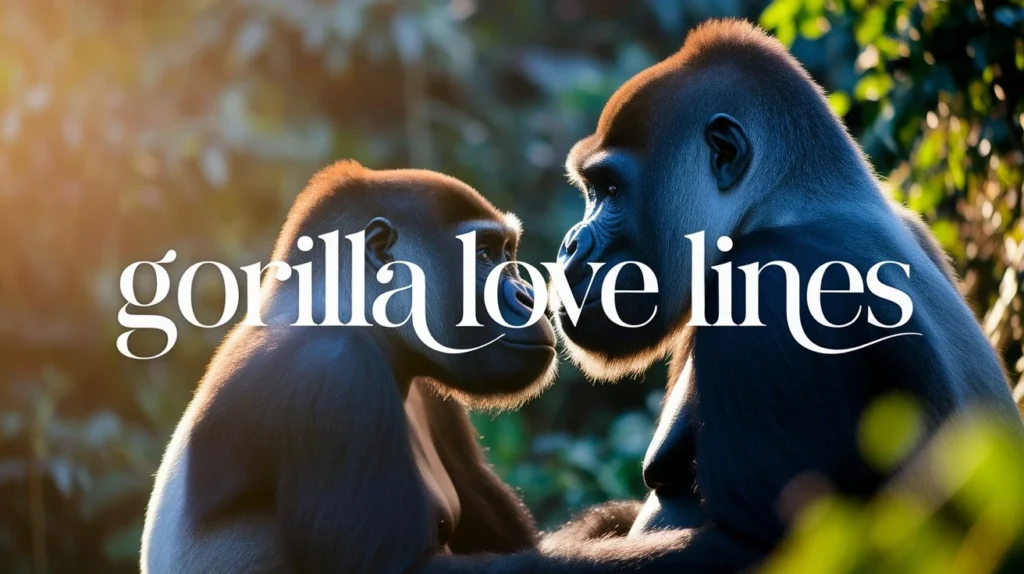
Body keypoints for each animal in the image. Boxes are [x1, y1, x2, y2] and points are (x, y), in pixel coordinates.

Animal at [418, 19, 1024, 573]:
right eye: (589, 191)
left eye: (609, 189)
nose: (571, 245)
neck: (785, 202)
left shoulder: (773, 288)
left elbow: (760, 546)